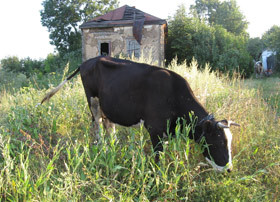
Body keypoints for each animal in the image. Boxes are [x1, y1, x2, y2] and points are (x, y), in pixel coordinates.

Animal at [40, 56, 240, 173]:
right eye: (218, 141)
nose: (229, 169)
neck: (174, 94)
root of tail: (89, 60)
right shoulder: (155, 128)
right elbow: (157, 155)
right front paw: (158, 175)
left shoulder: (165, 130)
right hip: (93, 100)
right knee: (96, 124)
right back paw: (100, 148)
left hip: (107, 105)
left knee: (108, 124)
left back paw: (112, 147)